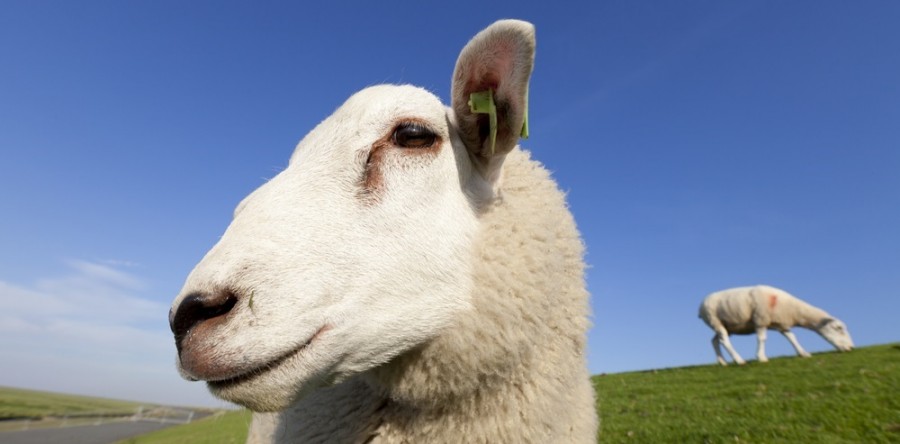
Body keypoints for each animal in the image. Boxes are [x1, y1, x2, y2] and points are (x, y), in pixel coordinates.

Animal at [698, 285, 853, 366]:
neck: (792, 309)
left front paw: (803, 353)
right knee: (724, 340)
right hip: (715, 320)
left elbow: (792, 338)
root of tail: (700, 307)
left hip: (727, 325)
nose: (851, 347)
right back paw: (739, 360)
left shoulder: (782, 324)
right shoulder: (761, 320)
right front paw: (761, 357)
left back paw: (722, 362)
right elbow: (762, 339)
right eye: (839, 328)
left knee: (714, 340)